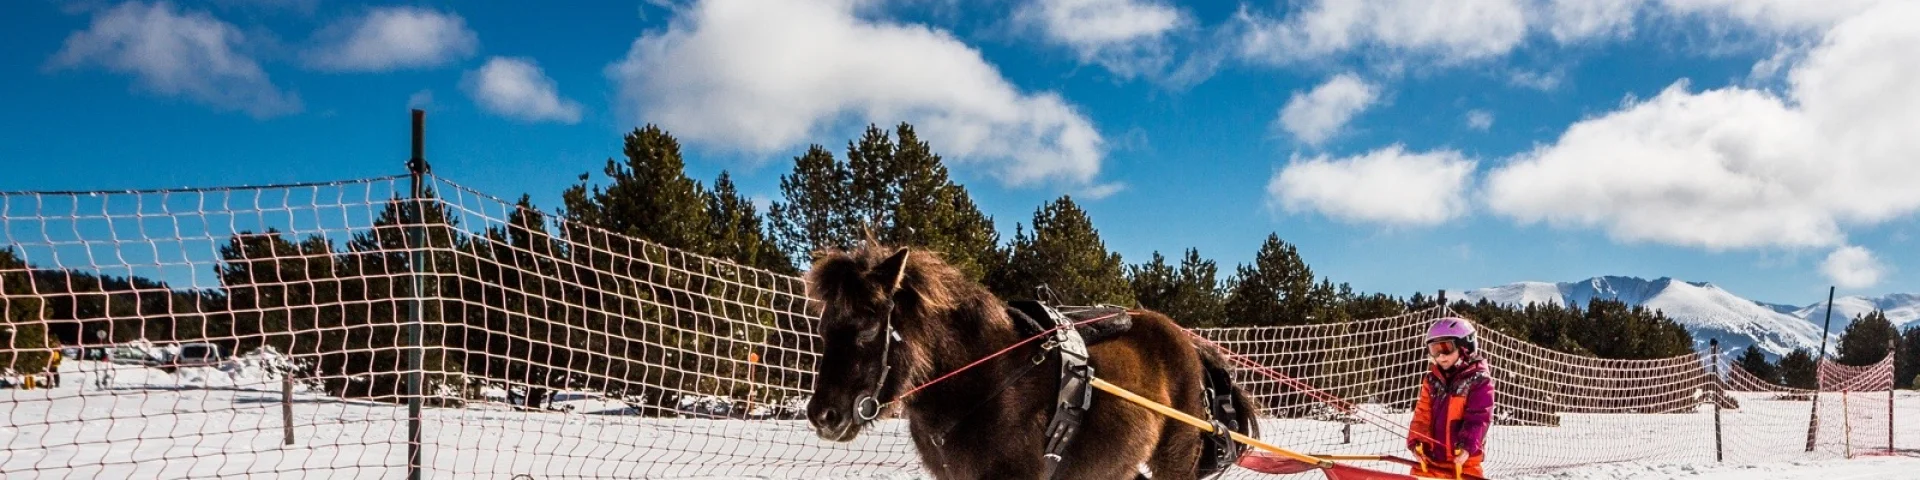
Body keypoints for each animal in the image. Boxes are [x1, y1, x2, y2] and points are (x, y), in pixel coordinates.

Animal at [802, 242, 1261, 480]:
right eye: (823, 327)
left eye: (867, 326)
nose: (824, 414)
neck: (984, 379)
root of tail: (1188, 344)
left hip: (1175, 459)